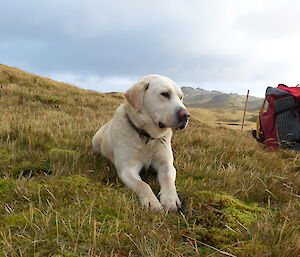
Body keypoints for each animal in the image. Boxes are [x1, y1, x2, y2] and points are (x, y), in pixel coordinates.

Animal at [92, 74, 190, 210]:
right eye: (165, 94)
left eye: (180, 97)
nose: (186, 115)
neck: (147, 137)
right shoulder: (127, 169)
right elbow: (142, 184)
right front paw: (151, 201)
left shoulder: (166, 164)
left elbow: (167, 179)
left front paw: (170, 199)